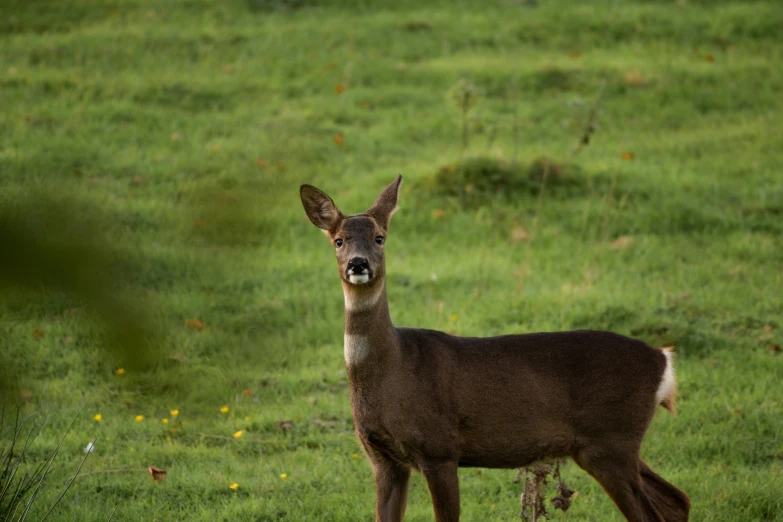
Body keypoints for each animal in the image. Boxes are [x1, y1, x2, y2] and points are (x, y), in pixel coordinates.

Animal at [300, 176, 692, 520]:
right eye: (338, 240)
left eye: (379, 237)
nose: (358, 264)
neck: (393, 369)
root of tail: (662, 360)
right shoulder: (383, 459)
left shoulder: (439, 448)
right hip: (612, 443)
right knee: (677, 500)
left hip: (610, 439)